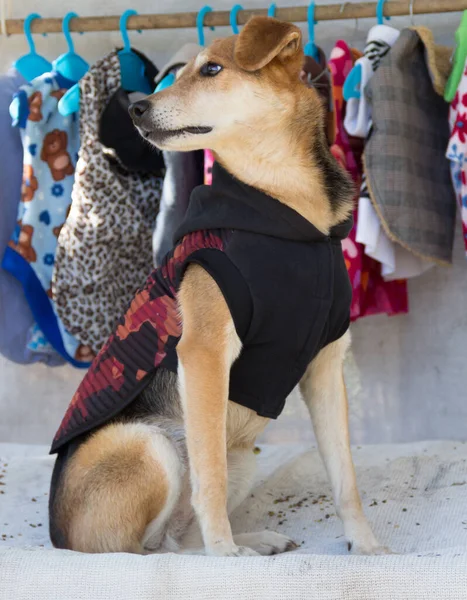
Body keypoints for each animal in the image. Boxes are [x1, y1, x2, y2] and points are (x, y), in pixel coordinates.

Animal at [49, 15, 390, 556]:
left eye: (211, 69)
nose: (136, 108)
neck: (284, 204)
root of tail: (59, 539)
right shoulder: (205, 353)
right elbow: (208, 478)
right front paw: (226, 559)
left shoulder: (326, 363)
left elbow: (345, 477)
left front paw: (366, 546)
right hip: (151, 445)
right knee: (141, 550)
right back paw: (227, 549)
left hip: (243, 454)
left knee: (178, 541)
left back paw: (255, 542)